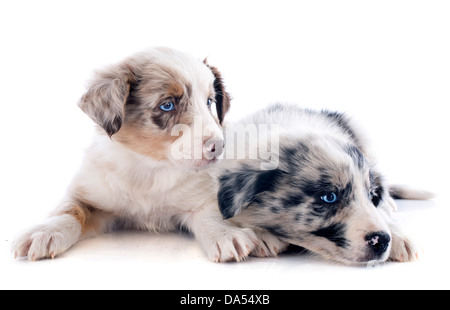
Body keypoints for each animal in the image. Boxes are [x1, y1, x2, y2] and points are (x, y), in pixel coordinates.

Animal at [11, 47, 260, 262]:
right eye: (167, 105)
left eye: (209, 101)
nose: (219, 146)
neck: (149, 168)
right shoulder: (90, 191)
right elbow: (68, 210)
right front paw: (44, 231)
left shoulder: (200, 195)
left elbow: (211, 214)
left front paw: (225, 234)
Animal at [216, 104, 434, 264]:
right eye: (329, 197)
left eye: (371, 196)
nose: (382, 241)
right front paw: (261, 235)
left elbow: (380, 212)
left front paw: (398, 236)